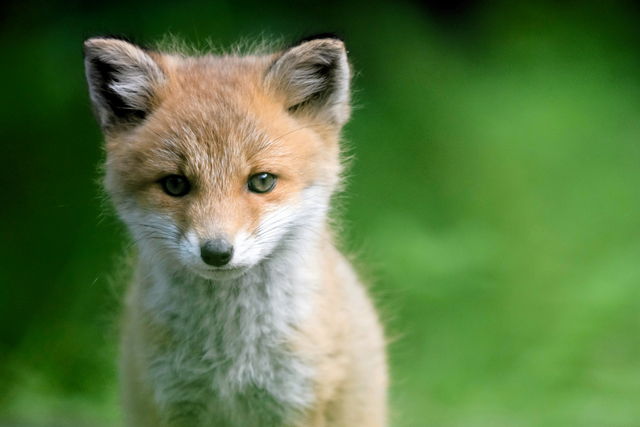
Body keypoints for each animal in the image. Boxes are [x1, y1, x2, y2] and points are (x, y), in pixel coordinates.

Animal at [83, 35, 388, 426]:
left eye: (262, 181)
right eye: (175, 184)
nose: (216, 253)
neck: (230, 360)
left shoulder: (297, 401)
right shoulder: (172, 402)